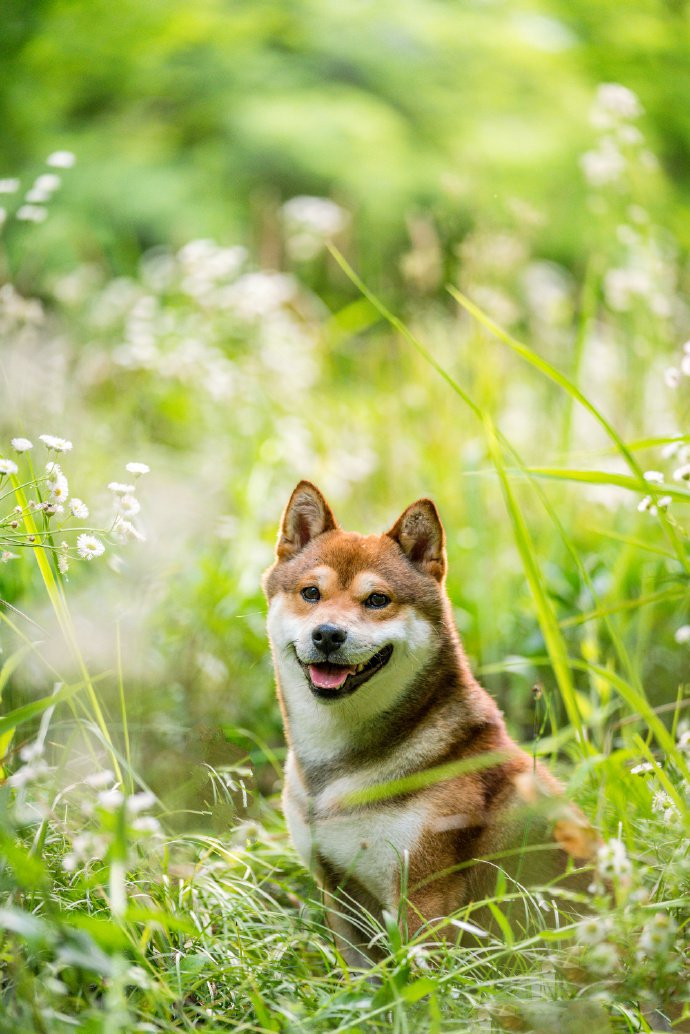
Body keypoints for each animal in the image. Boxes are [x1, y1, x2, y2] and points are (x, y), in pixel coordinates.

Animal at [261, 479, 595, 963]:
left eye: (377, 599)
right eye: (310, 593)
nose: (327, 634)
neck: (334, 774)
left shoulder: (425, 898)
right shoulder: (337, 890)